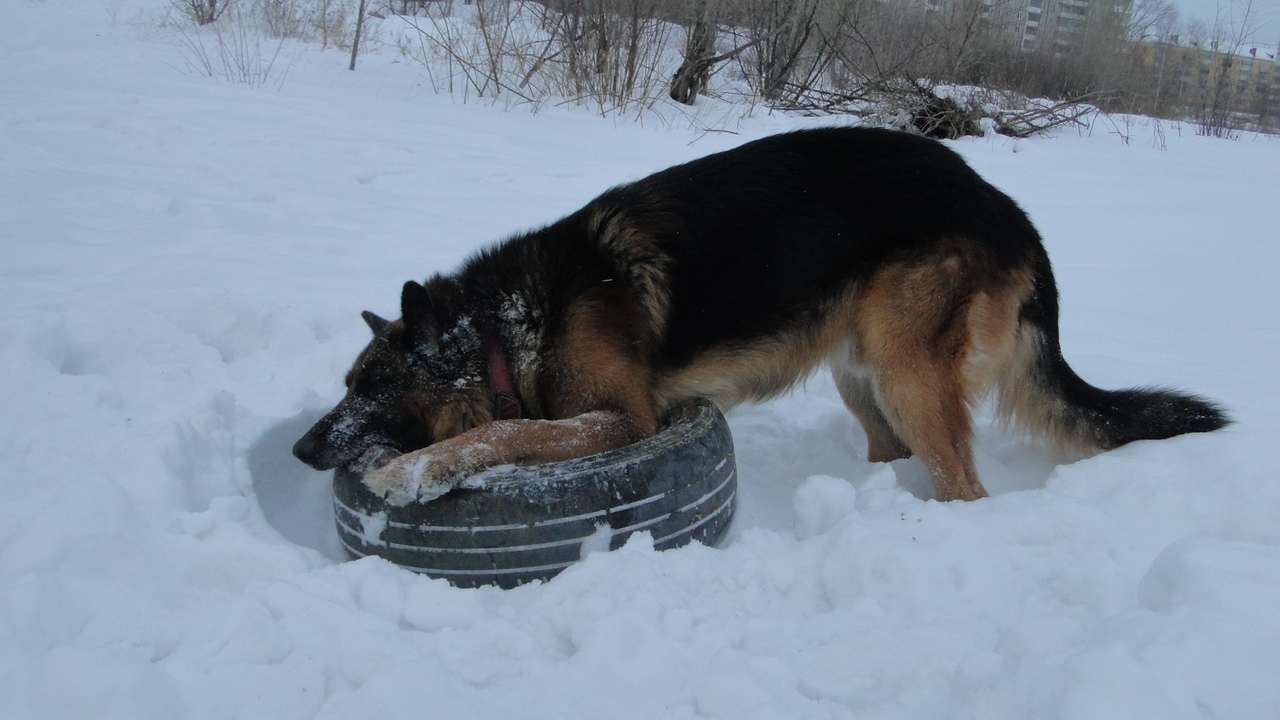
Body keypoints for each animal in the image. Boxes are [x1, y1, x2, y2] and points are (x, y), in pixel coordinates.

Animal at [293, 126, 1228, 502]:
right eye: (347, 381)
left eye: (372, 385)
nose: (300, 449)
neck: (509, 326)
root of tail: (1008, 209)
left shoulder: (622, 421)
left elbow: (501, 430)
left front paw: (412, 470)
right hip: (864, 377)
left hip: (906, 370)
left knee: (966, 486)